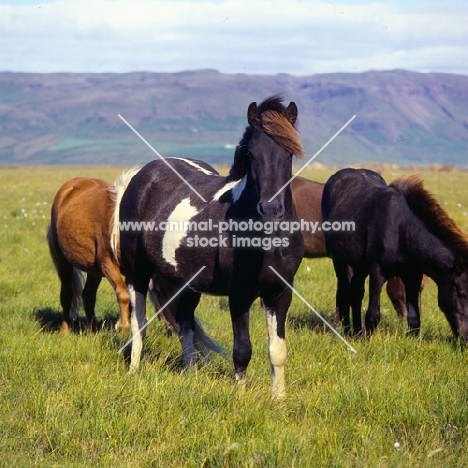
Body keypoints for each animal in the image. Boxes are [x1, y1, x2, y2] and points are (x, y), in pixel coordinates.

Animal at [47, 172, 223, 358]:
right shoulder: (108, 263)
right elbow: (123, 294)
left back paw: (93, 332)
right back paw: (65, 331)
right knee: (67, 295)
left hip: (93, 270)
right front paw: (123, 326)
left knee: (88, 296)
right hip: (64, 261)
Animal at [119, 97, 306, 396]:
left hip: (187, 282)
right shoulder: (239, 294)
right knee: (139, 323)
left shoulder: (280, 292)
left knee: (184, 325)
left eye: (288, 153)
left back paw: (191, 374)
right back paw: (134, 371)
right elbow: (242, 350)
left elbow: (277, 351)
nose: (271, 209)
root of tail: (143, 175)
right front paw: (240, 398)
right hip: (138, 272)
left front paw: (279, 399)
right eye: (251, 154)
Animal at [322, 168, 468, 340]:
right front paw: (367, 341)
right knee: (345, 291)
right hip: (340, 260)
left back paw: (356, 331)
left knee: (356, 293)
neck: (401, 231)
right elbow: (373, 315)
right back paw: (347, 331)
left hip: (359, 265)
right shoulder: (377, 272)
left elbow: (414, 317)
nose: (466, 336)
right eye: (461, 293)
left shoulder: (413, 276)